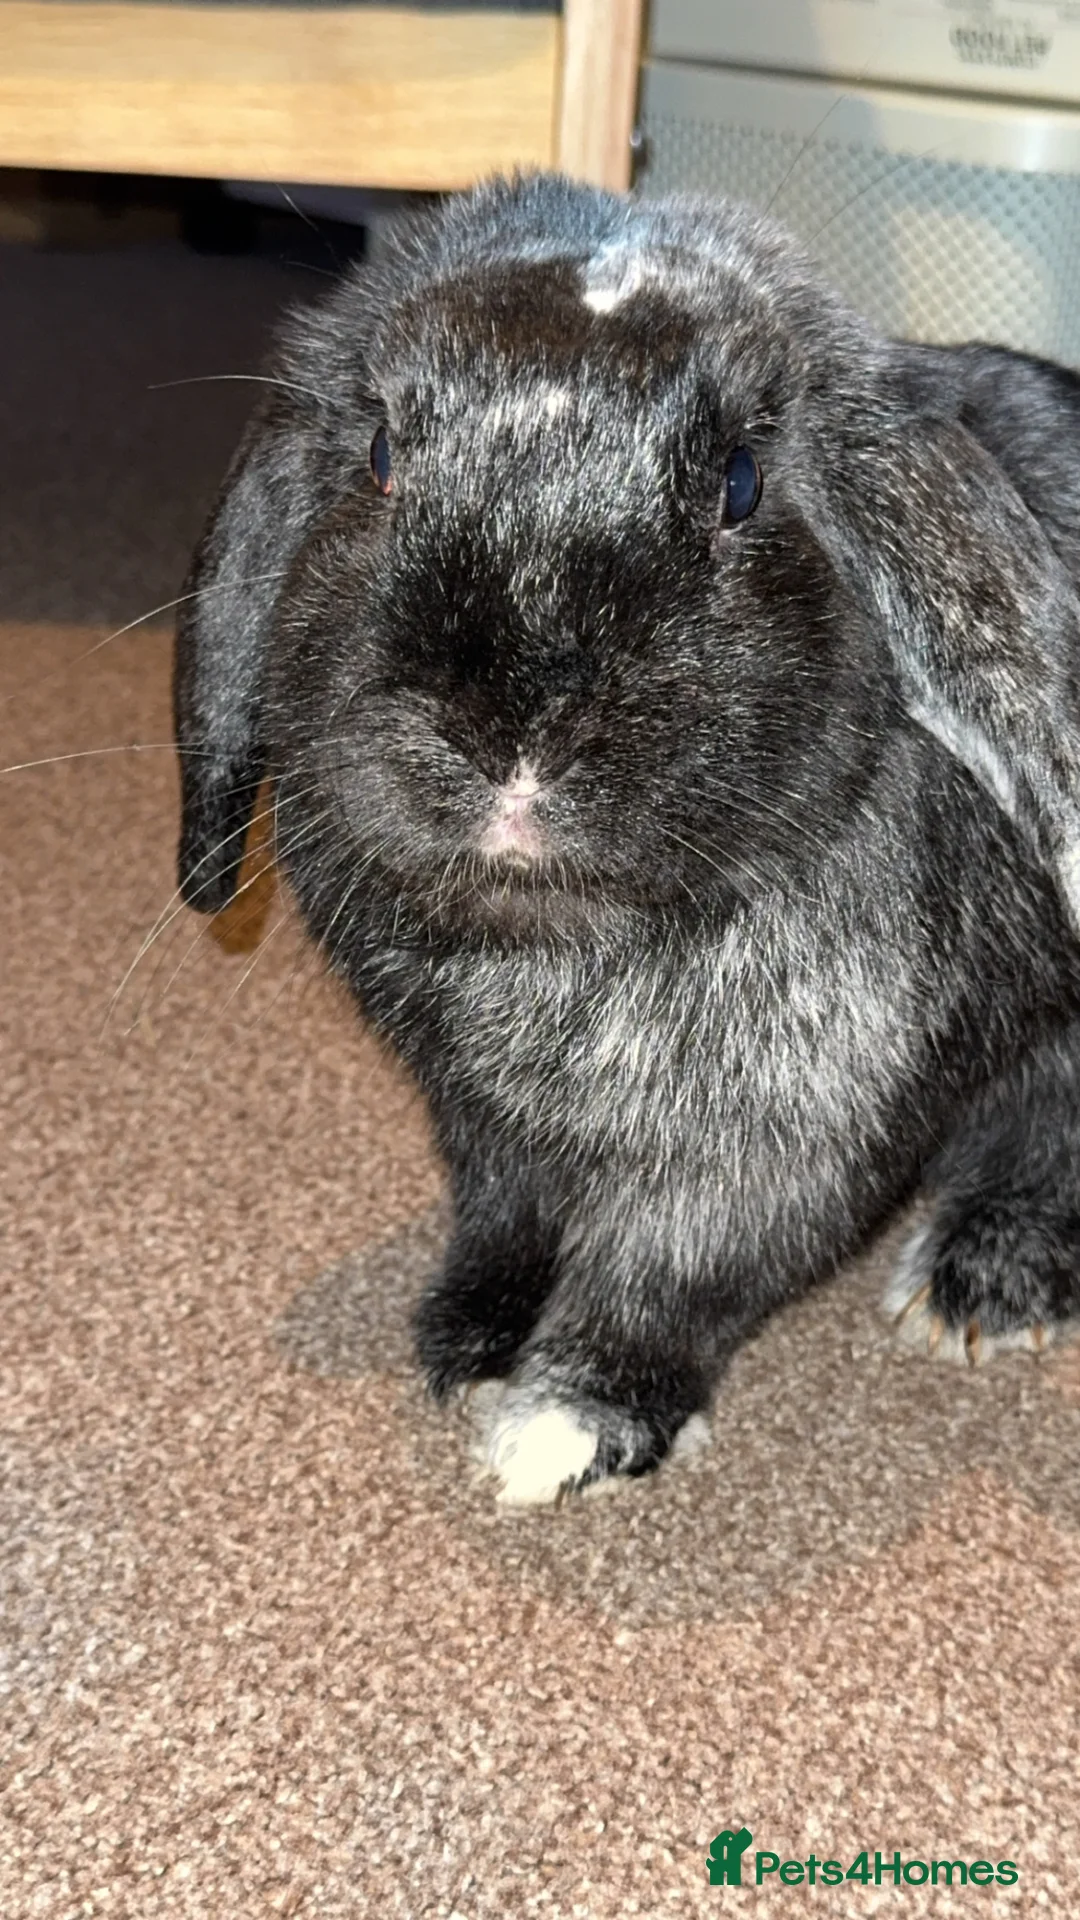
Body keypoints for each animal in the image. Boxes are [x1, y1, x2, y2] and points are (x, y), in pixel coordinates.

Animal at [175, 171, 1080, 1505]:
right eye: (383, 455)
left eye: (740, 482)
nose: (511, 739)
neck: (560, 947)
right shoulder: (484, 1133)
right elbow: (507, 1220)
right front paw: (474, 1345)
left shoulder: (781, 1143)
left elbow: (671, 1278)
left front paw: (566, 1428)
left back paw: (980, 1285)